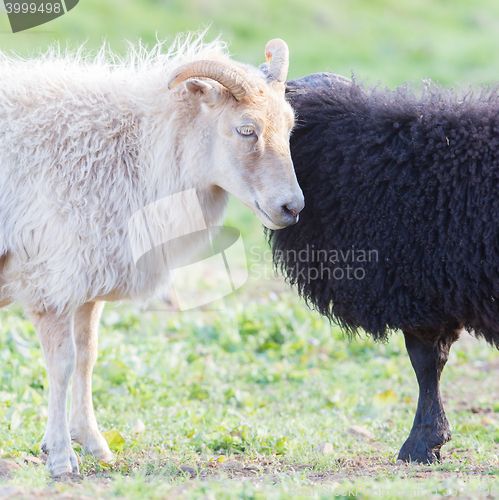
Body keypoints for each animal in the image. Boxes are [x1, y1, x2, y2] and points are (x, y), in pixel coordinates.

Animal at [0, 33, 304, 474]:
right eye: (246, 129)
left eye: (290, 126)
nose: (292, 208)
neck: (135, 151)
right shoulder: (52, 281)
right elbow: (62, 365)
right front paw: (60, 456)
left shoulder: (88, 279)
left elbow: (87, 357)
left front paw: (92, 442)